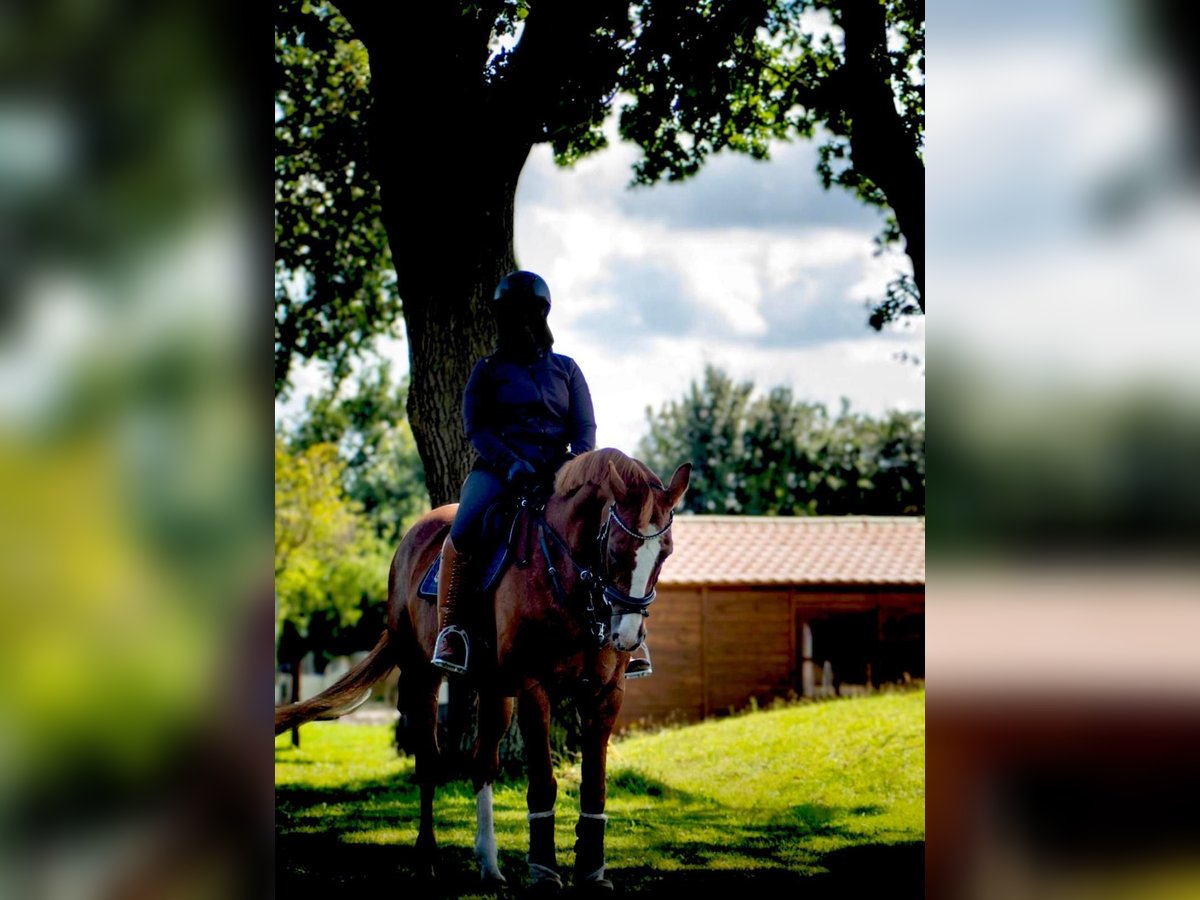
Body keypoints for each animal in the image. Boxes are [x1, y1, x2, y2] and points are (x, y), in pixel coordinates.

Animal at [271, 451, 686, 897]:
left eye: (665, 553)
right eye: (615, 549)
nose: (626, 636)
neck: (570, 579)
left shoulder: (605, 694)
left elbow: (594, 785)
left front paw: (593, 873)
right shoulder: (534, 687)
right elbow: (544, 781)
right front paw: (544, 871)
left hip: (495, 690)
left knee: (482, 762)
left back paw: (489, 865)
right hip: (423, 678)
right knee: (429, 762)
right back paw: (427, 860)